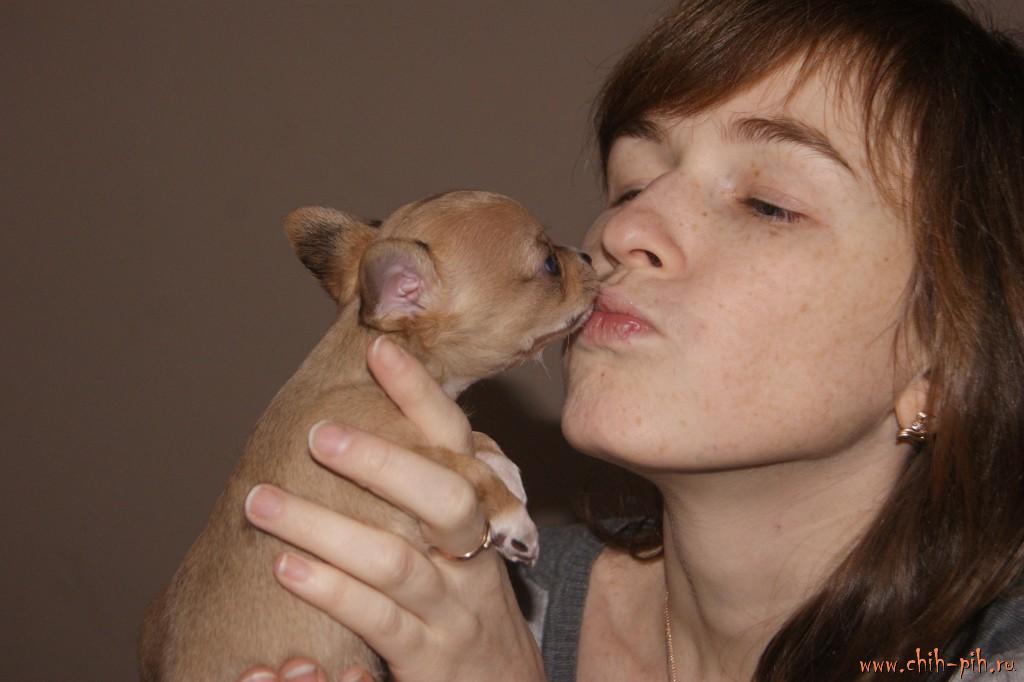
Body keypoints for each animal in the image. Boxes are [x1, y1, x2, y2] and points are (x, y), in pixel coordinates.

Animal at [139, 190, 598, 680]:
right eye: (549, 264)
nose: (588, 255)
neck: (365, 376)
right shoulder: (395, 455)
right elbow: (465, 469)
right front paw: (513, 519)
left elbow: (478, 439)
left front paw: (508, 470)